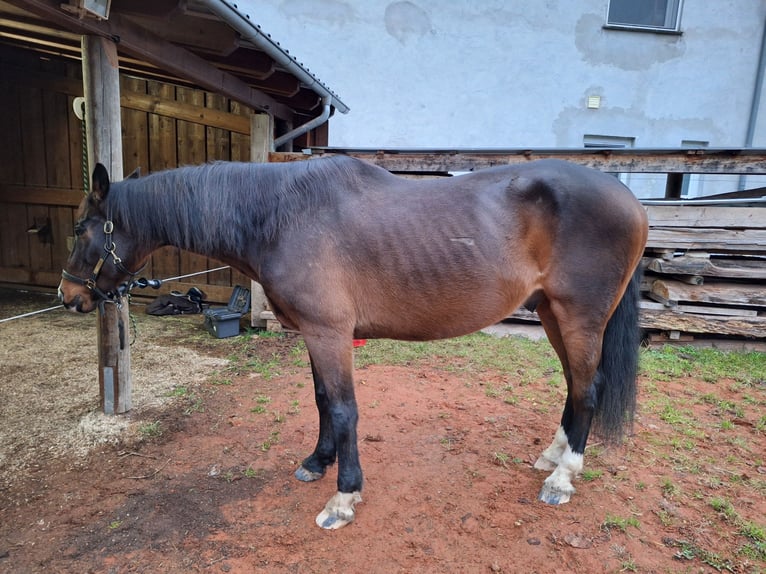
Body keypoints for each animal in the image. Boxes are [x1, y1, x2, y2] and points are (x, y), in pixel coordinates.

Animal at [59, 155, 648, 530]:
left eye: (83, 229)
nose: (69, 295)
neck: (280, 215)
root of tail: (630, 199)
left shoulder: (329, 333)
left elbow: (343, 409)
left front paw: (343, 496)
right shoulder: (315, 334)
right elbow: (323, 401)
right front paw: (317, 463)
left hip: (578, 317)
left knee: (588, 389)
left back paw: (564, 478)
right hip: (551, 313)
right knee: (574, 385)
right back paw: (553, 456)